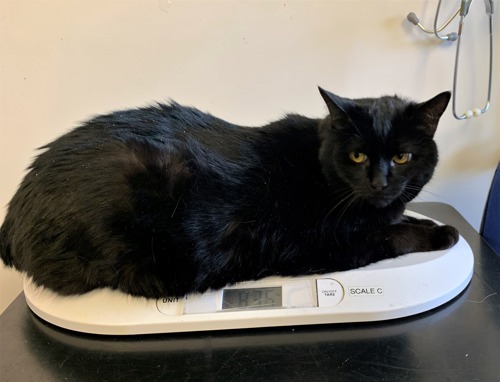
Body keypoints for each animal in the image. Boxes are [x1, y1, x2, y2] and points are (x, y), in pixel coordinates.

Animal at [0, 87, 458, 298]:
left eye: (402, 156)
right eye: (358, 155)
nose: (379, 183)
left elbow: (400, 218)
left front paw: (420, 218)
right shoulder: (322, 244)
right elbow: (393, 234)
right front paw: (442, 233)